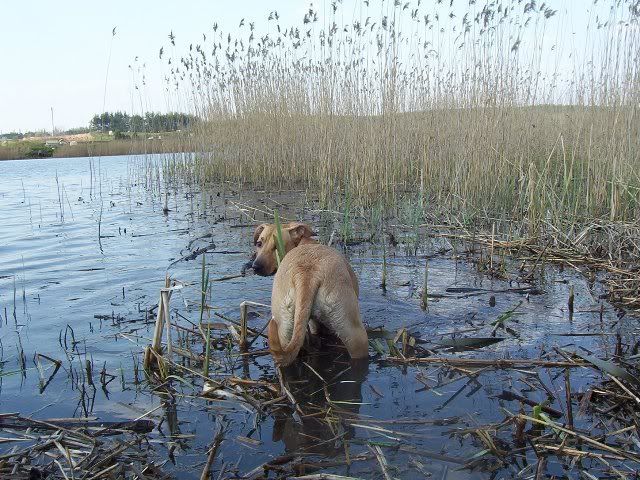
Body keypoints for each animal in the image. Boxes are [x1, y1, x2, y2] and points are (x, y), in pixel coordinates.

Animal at [251, 222, 368, 366]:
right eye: (259, 243)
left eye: (276, 246)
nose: (255, 266)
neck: (303, 243)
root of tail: (307, 274)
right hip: (356, 333)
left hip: (283, 329)